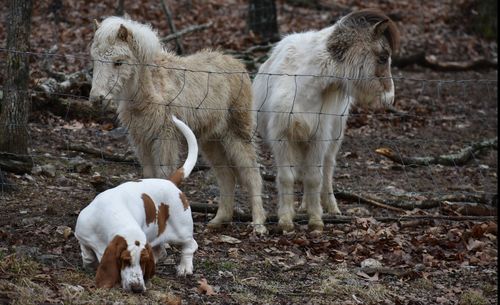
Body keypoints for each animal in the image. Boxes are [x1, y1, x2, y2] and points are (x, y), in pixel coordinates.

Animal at [75, 115, 198, 290]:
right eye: (125, 260)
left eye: (143, 262)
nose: (137, 288)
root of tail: (171, 182)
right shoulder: (82, 235)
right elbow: (87, 253)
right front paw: (89, 263)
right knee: (162, 251)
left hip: (181, 232)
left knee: (191, 245)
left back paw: (185, 267)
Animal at [90, 16, 270, 234]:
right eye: (94, 59)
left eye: (118, 62)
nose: (97, 99)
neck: (148, 92)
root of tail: (239, 65)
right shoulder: (141, 139)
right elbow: (149, 174)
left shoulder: (166, 137)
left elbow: (163, 174)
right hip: (211, 140)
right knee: (226, 175)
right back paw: (218, 221)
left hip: (238, 132)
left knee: (252, 174)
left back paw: (259, 225)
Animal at [252, 10, 400, 233]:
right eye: (383, 57)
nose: (389, 98)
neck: (305, 84)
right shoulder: (283, 139)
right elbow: (287, 177)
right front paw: (286, 220)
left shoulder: (318, 138)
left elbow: (315, 178)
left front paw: (316, 220)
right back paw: (304, 206)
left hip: (334, 137)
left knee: (328, 168)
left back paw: (331, 207)